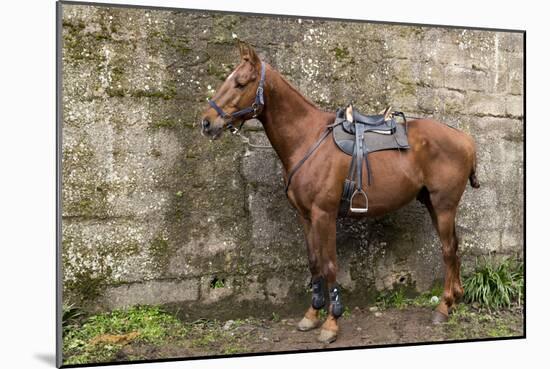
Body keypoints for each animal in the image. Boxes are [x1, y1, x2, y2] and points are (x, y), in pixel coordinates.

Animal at [201, 42, 480, 342]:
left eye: (241, 83)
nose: (206, 123)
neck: (308, 139)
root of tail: (465, 138)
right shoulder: (306, 216)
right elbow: (314, 263)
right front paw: (311, 314)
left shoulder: (325, 215)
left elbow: (330, 265)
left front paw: (331, 322)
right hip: (433, 204)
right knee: (455, 248)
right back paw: (455, 298)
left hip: (443, 206)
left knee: (448, 250)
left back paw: (444, 306)